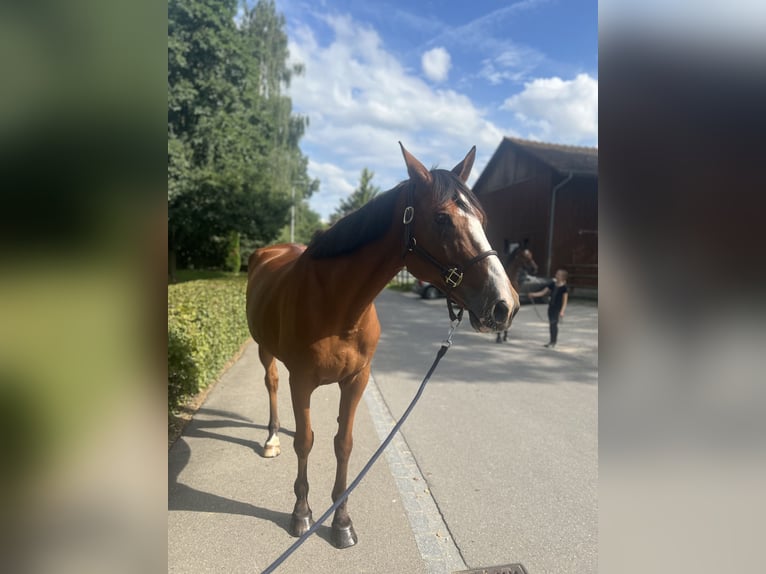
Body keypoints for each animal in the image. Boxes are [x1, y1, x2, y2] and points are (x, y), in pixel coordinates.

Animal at [246, 143, 520, 548]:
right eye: (442, 218)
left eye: (482, 218)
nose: (505, 304)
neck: (336, 305)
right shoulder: (302, 380)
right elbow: (306, 444)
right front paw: (301, 514)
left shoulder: (357, 379)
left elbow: (343, 443)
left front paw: (341, 521)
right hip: (266, 351)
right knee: (272, 385)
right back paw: (272, 437)